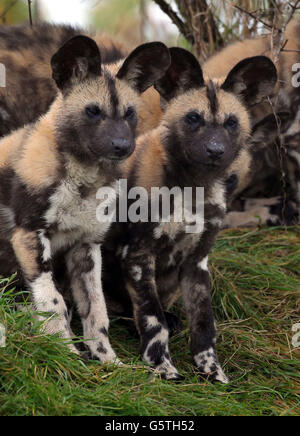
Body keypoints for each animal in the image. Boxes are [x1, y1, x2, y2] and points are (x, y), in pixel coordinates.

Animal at [0, 34, 170, 360]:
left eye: (129, 113)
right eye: (93, 111)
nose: (121, 145)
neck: (84, 180)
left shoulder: (86, 247)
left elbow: (95, 310)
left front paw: (106, 360)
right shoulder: (29, 238)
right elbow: (54, 304)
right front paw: (64, 352)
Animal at [104, 48, 278, 382]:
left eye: (231, 123)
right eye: (194, 118)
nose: (215, 150)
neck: (193, 186)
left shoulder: (196, 263)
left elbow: (204, 324)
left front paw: (213, 371)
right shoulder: (138, 257)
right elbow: (153, 320)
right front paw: (163, 368)